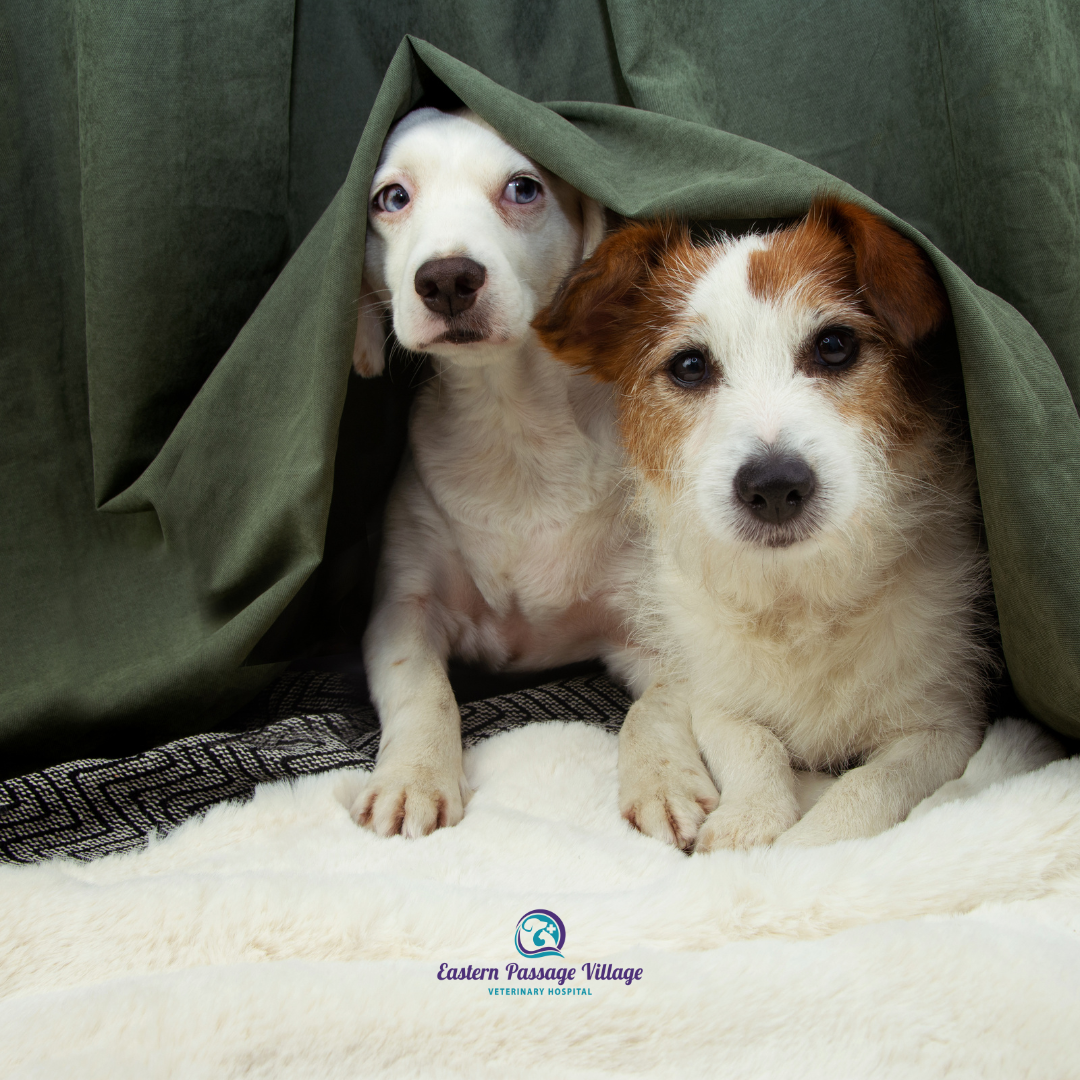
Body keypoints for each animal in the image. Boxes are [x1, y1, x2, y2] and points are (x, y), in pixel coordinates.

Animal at [352, 107, 648, 833]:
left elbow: (666, 708)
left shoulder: (649, 621)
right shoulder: (403, 611)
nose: (447, 278)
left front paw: (666, 778)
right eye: (392, 198)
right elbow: (425, 692)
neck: (513, 430)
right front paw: (414, 777)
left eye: (523, 188)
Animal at [535, 196, 989, 851]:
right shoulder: (717, 701)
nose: (774, 486)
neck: (797, 596)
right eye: (690, 365)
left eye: (834, 345)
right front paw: (750, 820)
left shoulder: (945, 728)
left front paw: (807, 847)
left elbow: (870, 784)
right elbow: (754, 744)